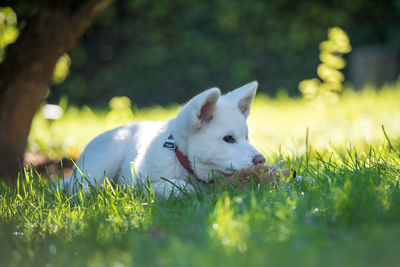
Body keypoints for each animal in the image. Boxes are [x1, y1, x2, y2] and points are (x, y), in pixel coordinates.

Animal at [63, 81, 266, 197]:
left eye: (246, 137)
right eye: (228, 139)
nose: (261, 160)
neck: (182, 161)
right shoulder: (139, 184)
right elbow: (171, 186)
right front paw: (187, 189)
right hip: (101, 163)